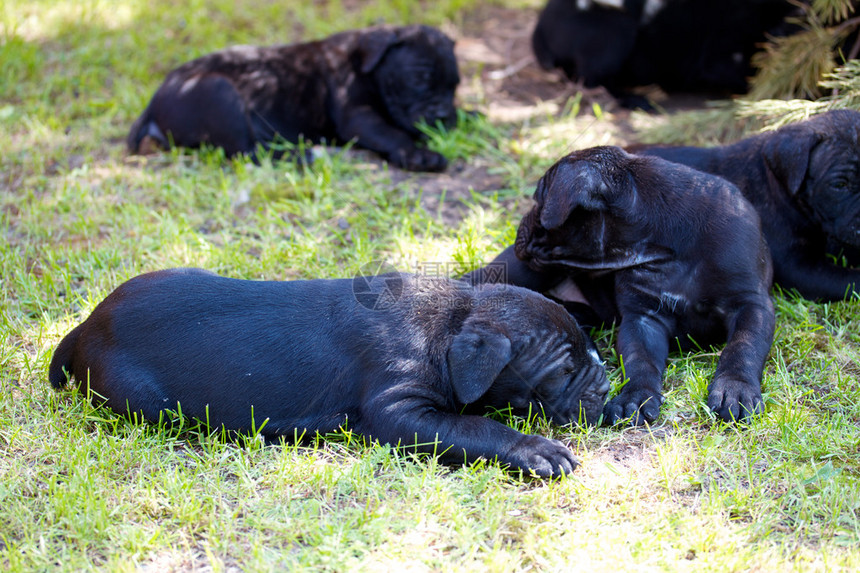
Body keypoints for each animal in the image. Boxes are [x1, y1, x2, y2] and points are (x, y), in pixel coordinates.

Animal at [48, 268, 612, 478]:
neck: (453, 323)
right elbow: (477, 425)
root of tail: (87, 324)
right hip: (145, 401)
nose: (608, 386)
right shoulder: (399, 411)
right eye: (564, 368)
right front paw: (537, 450)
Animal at [127, 25, 460, 172]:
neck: (366, 66)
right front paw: (420, 155)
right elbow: (391, 133)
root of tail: (151, 107)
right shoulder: (359, 116)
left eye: (455, 85)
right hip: (220, 93)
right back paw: (312, 155)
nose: (443, 115)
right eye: (419, 81)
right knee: (250, 153)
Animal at [466, 146, 776, 424]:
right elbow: (640, 361)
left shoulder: (751, 304)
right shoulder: (642, 318)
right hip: (524, 270)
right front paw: (635, 397)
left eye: (537, 201)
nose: (520, 226)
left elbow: (742, 347)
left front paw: (735, 389)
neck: (669, 241)